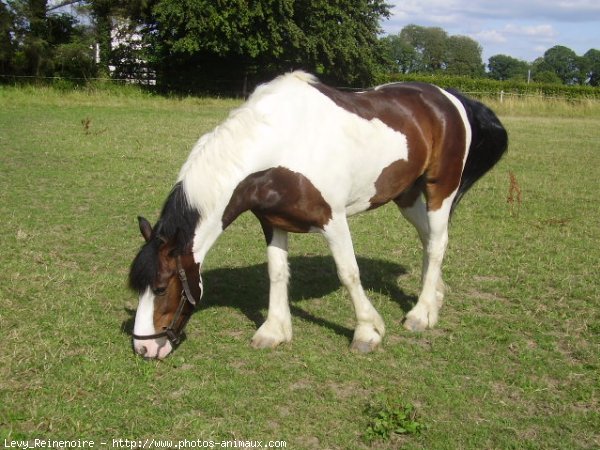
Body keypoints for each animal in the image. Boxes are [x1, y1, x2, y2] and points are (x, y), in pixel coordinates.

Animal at [127, 71, 506, 358]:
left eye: (160, 287)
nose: (144, 349)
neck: (278, 145)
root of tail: (449, 98)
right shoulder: (272, 222)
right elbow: (277, 273)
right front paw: (274, 330)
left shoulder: (332, 219)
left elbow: (348, 273)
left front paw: (367, 332)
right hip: (407, 195)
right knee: (429, 239)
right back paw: (435, 297)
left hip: (440, 190)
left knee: (438, 243)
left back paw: (421, 314)